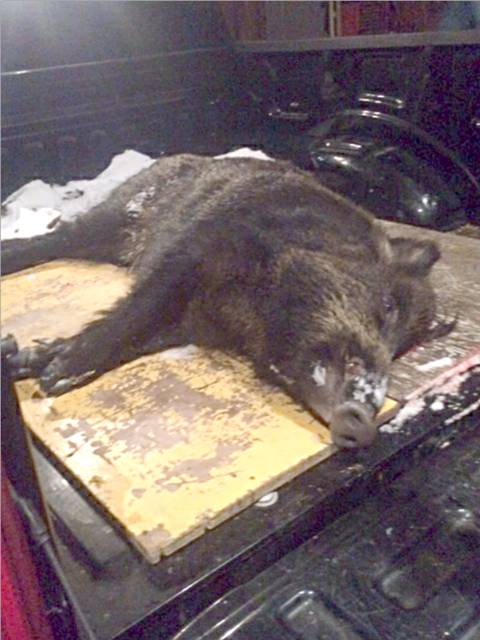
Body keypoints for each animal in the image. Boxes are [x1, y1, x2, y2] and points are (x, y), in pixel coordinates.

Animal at [2, 154, 450, 447]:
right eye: (389, 307)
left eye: (402, 348)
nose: (364, 422)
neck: (252, 312)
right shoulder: (197, 249)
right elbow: (136, 310)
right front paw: (54, 377)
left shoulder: (192, 324)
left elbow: (143, 337)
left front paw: (33, 360)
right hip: (118, 213)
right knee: (60, 236)